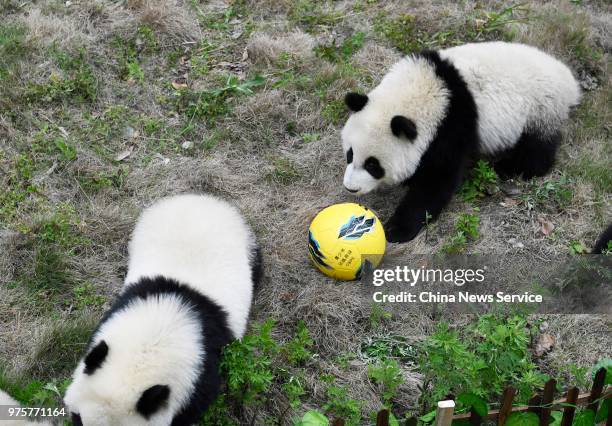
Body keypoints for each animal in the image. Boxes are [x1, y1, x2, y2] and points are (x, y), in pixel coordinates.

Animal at [342, 43, 580, 245]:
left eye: (373, 165)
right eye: (350, 154)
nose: (350, 188)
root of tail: (570, 82)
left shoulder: (451, 127)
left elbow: (436, 181)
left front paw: (396, 229)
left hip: (540, 108)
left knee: (537, 149)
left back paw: (508, 167)